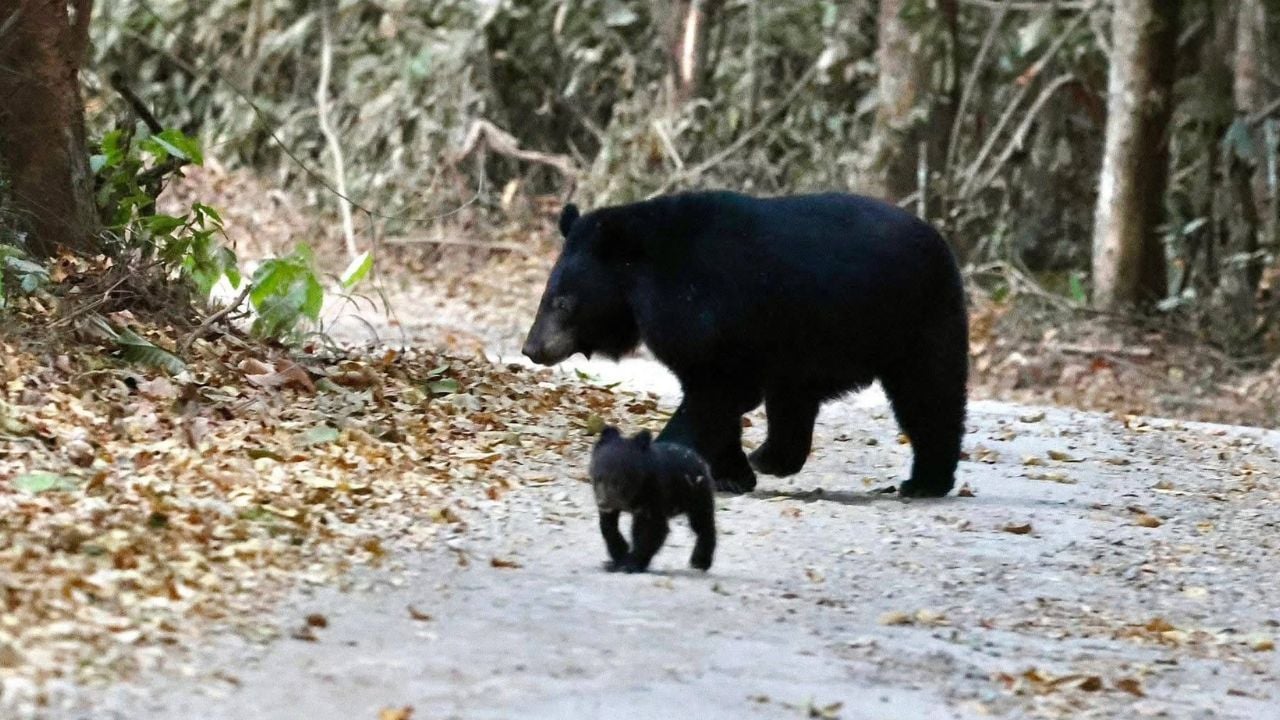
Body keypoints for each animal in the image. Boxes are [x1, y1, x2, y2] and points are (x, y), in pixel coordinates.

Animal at [523, 191, 968, 498]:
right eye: (546, 296)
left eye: (563, 302)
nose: (533, 349)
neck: (644, 284)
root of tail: (941, 243)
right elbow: (714, 396)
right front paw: (732, 474)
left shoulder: (705, 314)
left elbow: (716, 393)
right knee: (794, 405)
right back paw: (772, 457)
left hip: (916, 320)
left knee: (929, 395)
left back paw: (925, 481)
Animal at [589, 426, 716, 573]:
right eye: (598, 478)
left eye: (618, 481)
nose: (602, 503)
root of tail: (700, 459)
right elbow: (608, 525)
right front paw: (618, 557)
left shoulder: (655, 493)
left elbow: (653, 528)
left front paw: (630, 563)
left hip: (696, 493)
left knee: (702, 523)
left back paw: (700, 561)